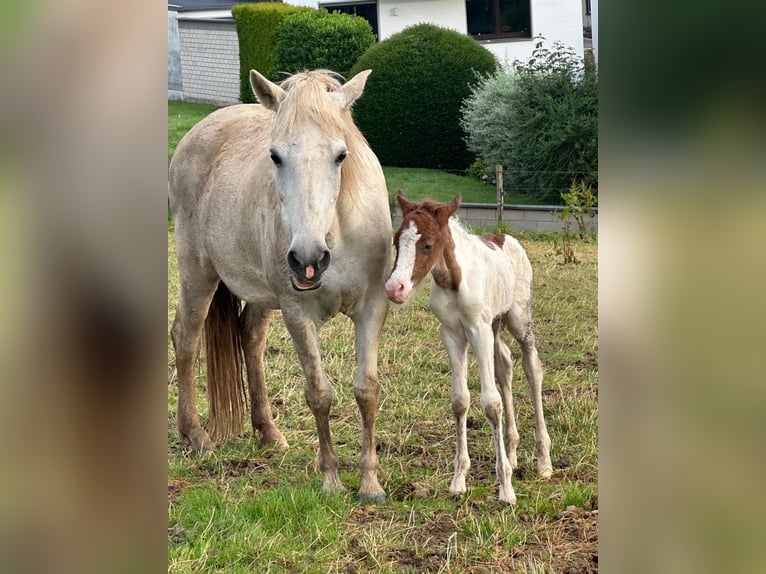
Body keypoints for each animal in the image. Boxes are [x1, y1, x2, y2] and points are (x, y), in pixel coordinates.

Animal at [170, 71, 392, 504]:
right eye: (274, 156)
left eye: (341, 155)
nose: (308, 259)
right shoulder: (298, 312)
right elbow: (319, 394)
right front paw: (330, 479)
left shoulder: (372, 308)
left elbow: (366, 390)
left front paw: (370, 484)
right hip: (197, 273)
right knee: (185, 338)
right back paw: (195, 436)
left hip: (260, 295)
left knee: (250, 339)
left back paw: (268, 432)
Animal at [388, 192, 556, 504]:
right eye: (396, 242)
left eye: (428, 245)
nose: (395, 289)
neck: (453, 279)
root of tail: (505, 236)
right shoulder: (452, 334)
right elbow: (460, 400)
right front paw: (458, 481)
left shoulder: (478, 330)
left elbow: (490, 403)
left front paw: (506, 489)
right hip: (495, 325)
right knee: (505, 365)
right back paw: (513, 453)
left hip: (517, 319)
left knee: (532, 367)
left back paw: (544, 462)